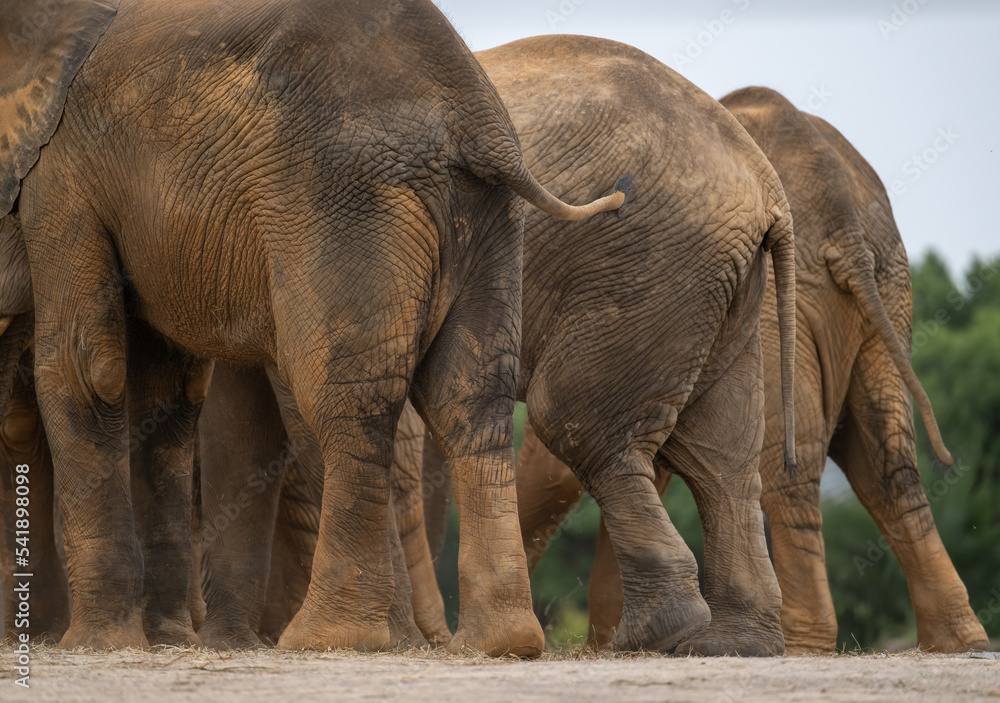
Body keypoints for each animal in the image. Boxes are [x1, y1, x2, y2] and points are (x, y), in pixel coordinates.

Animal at [0, 0, 627, 654]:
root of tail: (481, 129)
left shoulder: (61, 166)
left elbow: (85, 367)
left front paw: (98, 645)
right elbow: (163, 391)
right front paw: (167, 640)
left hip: (343, 205)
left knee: (345, 401)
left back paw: (328, 636)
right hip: (484, 220)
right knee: (470, 401)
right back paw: (498, 644)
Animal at [512, 87, 989, 655]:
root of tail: (843, 213)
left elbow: (564, 457)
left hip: (780, 304)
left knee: (792, 466)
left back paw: (801, 648)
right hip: (887, 291)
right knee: (888, 465)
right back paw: (961, 641)